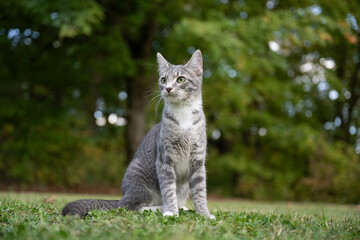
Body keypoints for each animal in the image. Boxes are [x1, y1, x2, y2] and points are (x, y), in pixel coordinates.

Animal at [62, 50, 215, 219]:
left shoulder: (197, 160)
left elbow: (200, 191)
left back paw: (182, 207)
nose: (168, 88)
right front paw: (170, 211)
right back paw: (160, 208)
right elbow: (168, 190)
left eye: (181, 79)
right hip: (139, 176)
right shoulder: (164, 159)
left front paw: (204, 214)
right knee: (130, 206)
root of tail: (122, 196)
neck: (183, 115)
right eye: (163, 80)